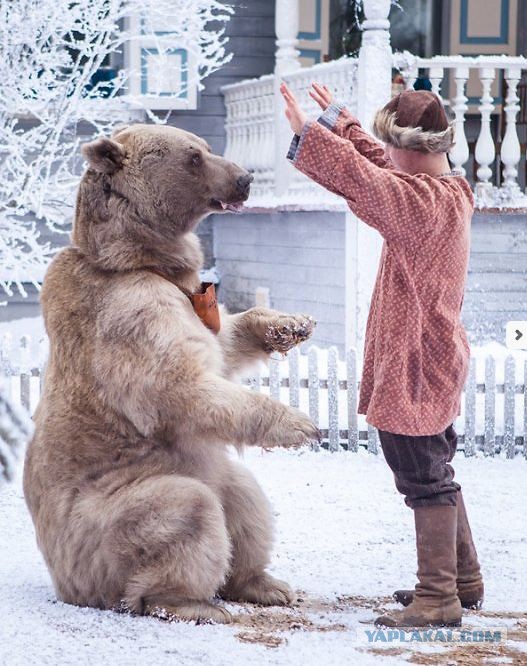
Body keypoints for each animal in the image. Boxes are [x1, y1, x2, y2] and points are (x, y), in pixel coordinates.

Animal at [23, 123, 320, 624]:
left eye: (205, 147)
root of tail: (63, 582)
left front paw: (290, 325)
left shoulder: (190, 304)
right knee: (187, 511)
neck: (138, 260)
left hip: (207, 472)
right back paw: (189, 602)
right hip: (102, 518)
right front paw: (300, 424)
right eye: (193, 157)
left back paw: (266, 584)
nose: (244, 179)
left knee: (244, 499)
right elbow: (179, 384)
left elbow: (222, 343)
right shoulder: (130, 311)